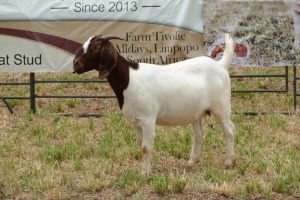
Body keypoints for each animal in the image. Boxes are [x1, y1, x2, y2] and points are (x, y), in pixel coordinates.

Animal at [74, 33, 236, 174]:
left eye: (96, 47)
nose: (75, 64)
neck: (129, 79)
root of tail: (220, 65)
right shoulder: (135, 122)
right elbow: (141, 145)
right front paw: (148, 168)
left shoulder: (148, 119)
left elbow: (146, 147)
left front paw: (145, 172)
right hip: (196, 112)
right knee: (199, 134)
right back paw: (192, 161)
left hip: (221, 106)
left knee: (229, 130)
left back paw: (229, 162)